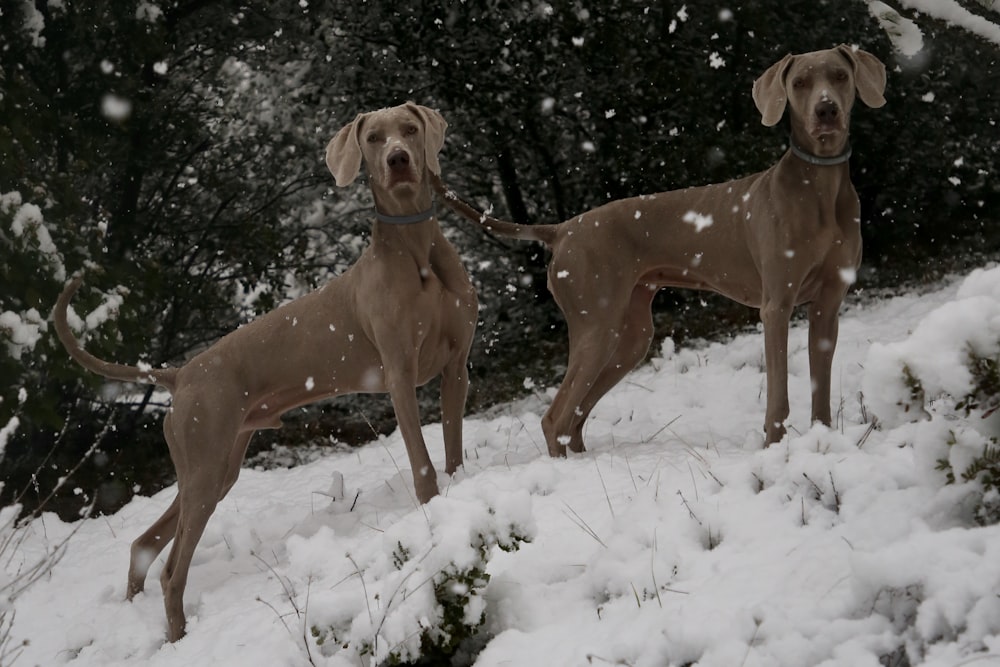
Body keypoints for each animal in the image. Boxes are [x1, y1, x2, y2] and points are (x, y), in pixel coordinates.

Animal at [52, 102, 478, 640]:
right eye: (374, 139)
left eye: (410, 129)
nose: (399, 160)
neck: (415, 248)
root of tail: (180, 374)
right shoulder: (400, 377)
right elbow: (422, 461)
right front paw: (430, 508)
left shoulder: (457, 367)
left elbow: (453, 447)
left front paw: (458, 492)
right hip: (206, 460)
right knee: (171, 569)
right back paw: (178, 636)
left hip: (215, 468)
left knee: (144, 544)